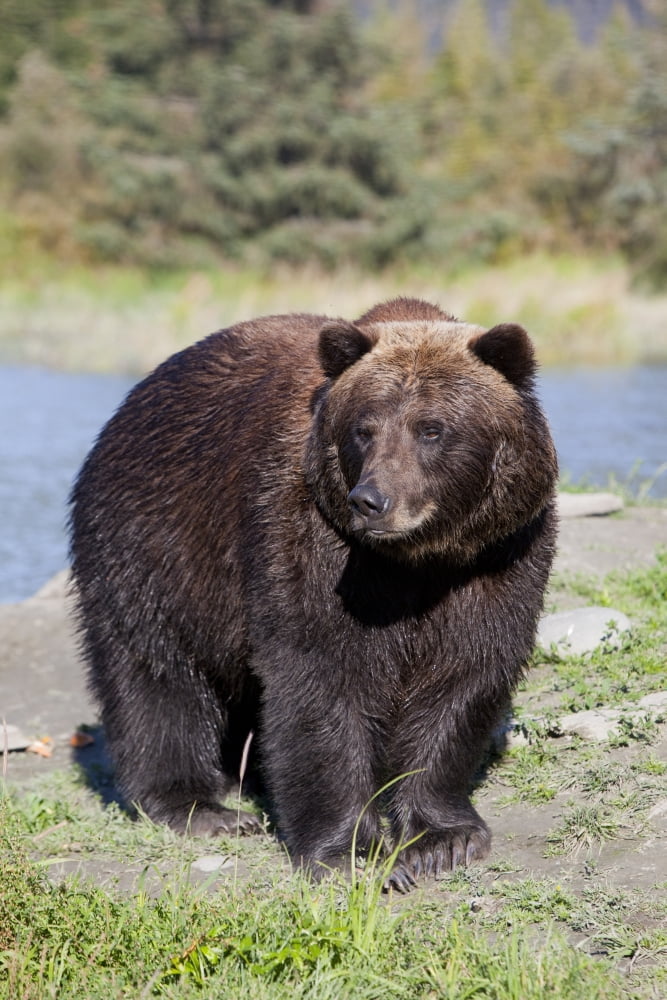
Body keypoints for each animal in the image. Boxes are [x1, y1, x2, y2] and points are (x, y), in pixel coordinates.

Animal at [69, 297, 558, 891]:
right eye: (364, 429)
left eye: (432, 428)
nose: (372, 500)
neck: (416, 559)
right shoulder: (309, 538)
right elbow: (318, 677)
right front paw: (349, 850)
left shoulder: (498, 554)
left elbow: (465, 675)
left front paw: (442, 840)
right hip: (151, 545)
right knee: (155, 672)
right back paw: (200, 806)